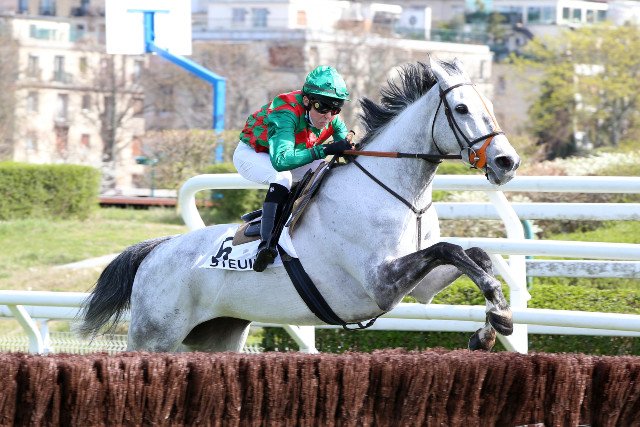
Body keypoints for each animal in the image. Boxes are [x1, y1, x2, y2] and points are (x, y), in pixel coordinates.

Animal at [78, 58, 520, 352]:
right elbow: (449, 249)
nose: (507, 162)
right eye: (461, 108)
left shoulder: (421, 286)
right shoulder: (379, 284)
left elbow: (472, 253)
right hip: (155, 338)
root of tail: (156, 251)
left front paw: (492, 322)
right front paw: (499, 316)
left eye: (489, 106)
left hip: (213, 338)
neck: (395, 193)